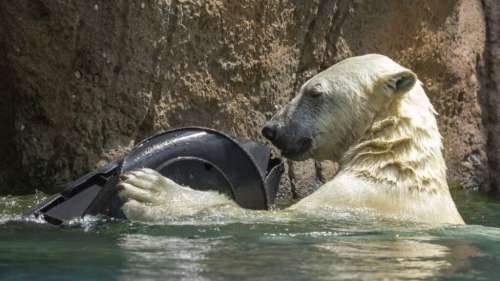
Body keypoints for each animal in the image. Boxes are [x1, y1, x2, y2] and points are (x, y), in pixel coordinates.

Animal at [116, 54, 464, 224]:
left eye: (314, 92)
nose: (271, 129)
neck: (392, 159)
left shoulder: (356, 202)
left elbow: (266, 220)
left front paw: (151, 191)